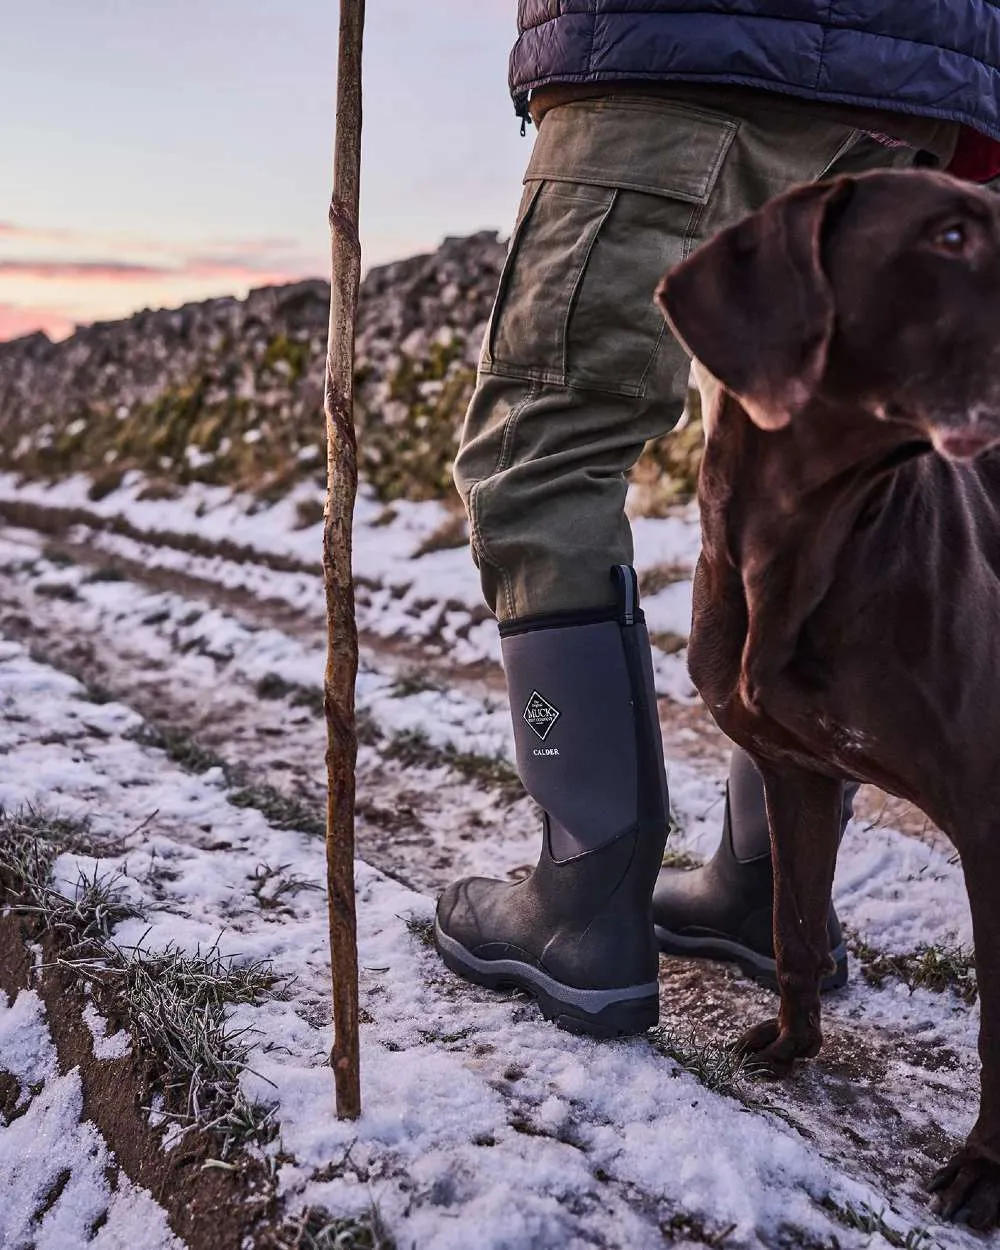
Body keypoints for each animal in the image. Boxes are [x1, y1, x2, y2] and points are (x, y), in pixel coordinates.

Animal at [660, 168, 1000, 1230]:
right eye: (949, 234)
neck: (811, 536)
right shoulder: (796, 773)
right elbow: (793, 926)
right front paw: (793, 1045)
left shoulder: (992, 821)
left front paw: (986, 1170)